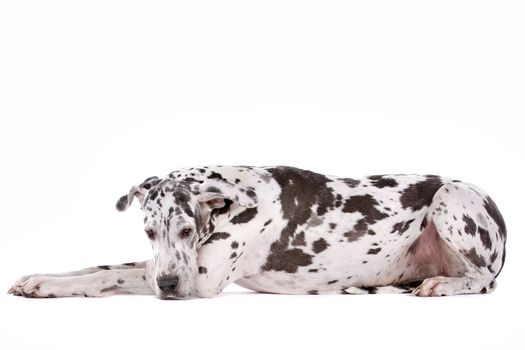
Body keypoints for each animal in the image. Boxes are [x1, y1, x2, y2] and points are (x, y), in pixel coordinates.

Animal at [8, 166, 504, 298]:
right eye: (148, 231)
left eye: (187, 228)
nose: (167, 286)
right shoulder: (162, 263)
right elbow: (102, 267)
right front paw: (39, 281)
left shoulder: (199, 279)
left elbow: (116, 273)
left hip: (450, 197)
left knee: (481, 280)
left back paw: (442, 284)